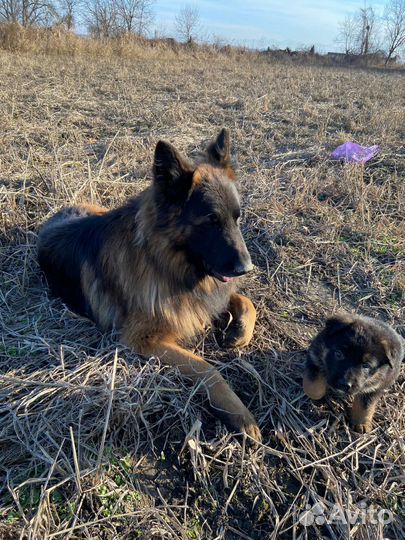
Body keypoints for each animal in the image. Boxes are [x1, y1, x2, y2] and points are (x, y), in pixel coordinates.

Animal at [37, 130, 258, 438]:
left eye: (237, 218)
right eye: (211, 221)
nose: (246, 268)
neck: (164, 263)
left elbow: (246, 301)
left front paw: (239, 333)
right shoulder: (144, 339)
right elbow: (206, 368)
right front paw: (239, 414)